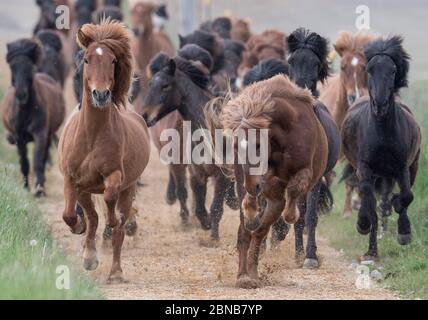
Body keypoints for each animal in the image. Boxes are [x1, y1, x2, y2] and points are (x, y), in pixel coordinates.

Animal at [1, 39, 65, 196]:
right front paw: (25, 187)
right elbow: (24, 162)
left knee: (43, 157)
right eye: (12, 67)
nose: (21, 94)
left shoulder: (40, 134)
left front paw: (39, 189)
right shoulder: (19, 138)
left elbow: (37, 161)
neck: (26, 111)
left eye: (29, 67)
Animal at [57, 19, 150, 282]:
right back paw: (90, 254)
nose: (100, 94)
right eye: (87, 60)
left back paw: (116, 271)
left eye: (113, 61)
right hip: (85, 190)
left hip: (128, 188)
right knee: (92, 217)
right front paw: (79, 232)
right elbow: (70, 214)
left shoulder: (114, 175)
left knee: (119, 224)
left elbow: (110, 201)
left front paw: (113, 221)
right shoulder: (72, 179)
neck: (91, 135)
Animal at [206, 75, 330, 288]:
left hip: (275, 203)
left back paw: (253, 273)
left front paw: (290, 215)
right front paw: (250, 209)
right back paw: (243, 276)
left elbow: (293, 189)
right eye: (236, 146)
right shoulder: (258, 178)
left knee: (260, 232)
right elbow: (253, 197)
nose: (252, 186)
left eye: (258, 144)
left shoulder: (305, 171)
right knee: (246, 233)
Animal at [342, 36, 422, 258]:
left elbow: (406, 196)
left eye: (393, 70)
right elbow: (368, 200)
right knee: (371, 202)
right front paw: (362, 224)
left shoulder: (403, 167)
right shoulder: (364, 167)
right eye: (369, 70)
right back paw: (371, 248)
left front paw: (404, 232)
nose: (380, 105)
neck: (383, 131)